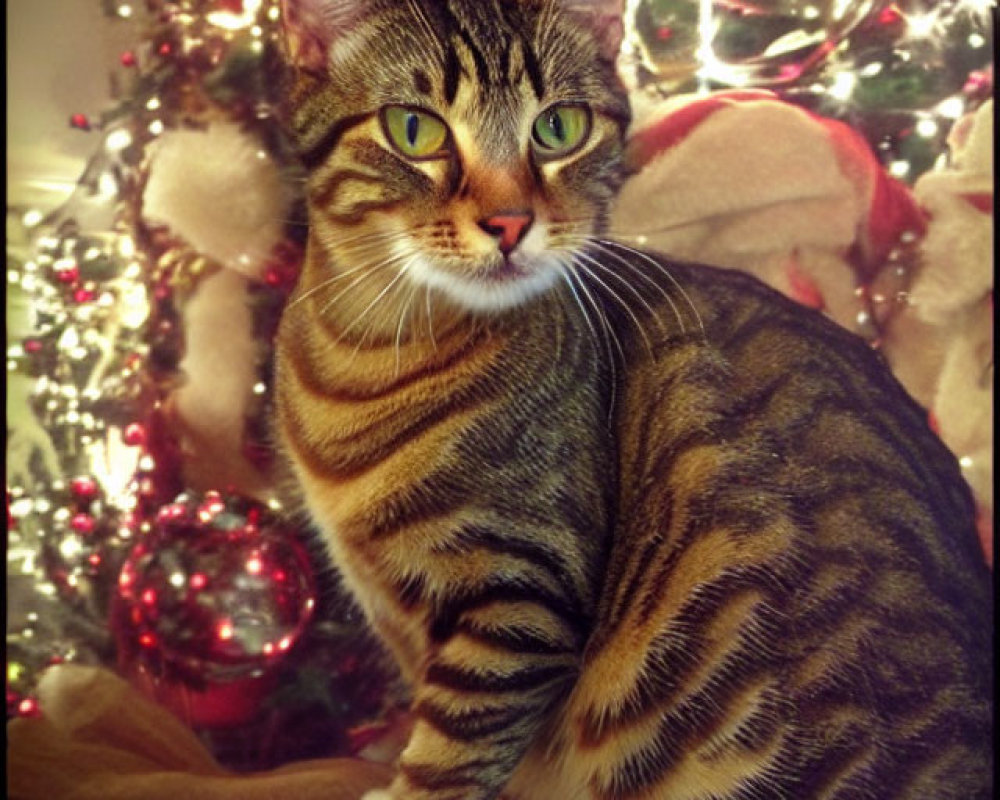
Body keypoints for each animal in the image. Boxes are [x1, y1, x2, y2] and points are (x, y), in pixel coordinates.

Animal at [272, 3, 992, 796]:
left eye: (558, 127)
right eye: (415, 130)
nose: (510, 222)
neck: (366, 352)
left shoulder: (521, 595)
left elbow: (451, 752)